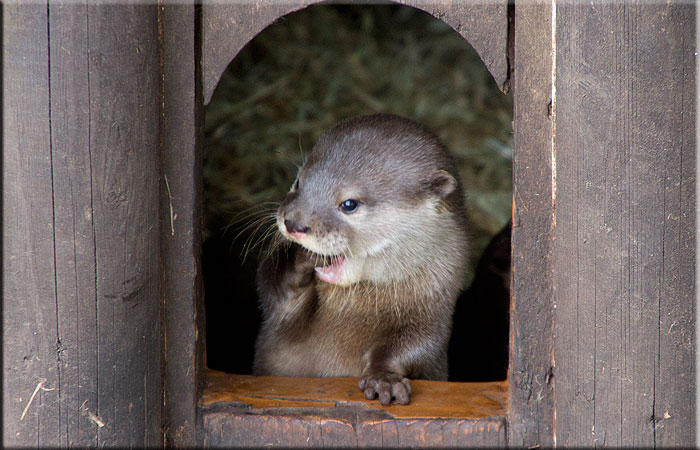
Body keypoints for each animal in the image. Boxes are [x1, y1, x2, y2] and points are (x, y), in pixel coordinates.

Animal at [253, 113, 469, 405]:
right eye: (298, 182)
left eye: (349, 204)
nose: (293, 223)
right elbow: (272, 291)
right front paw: (301, 260)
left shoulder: (434, 309)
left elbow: (416, 346)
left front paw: (384, 379)